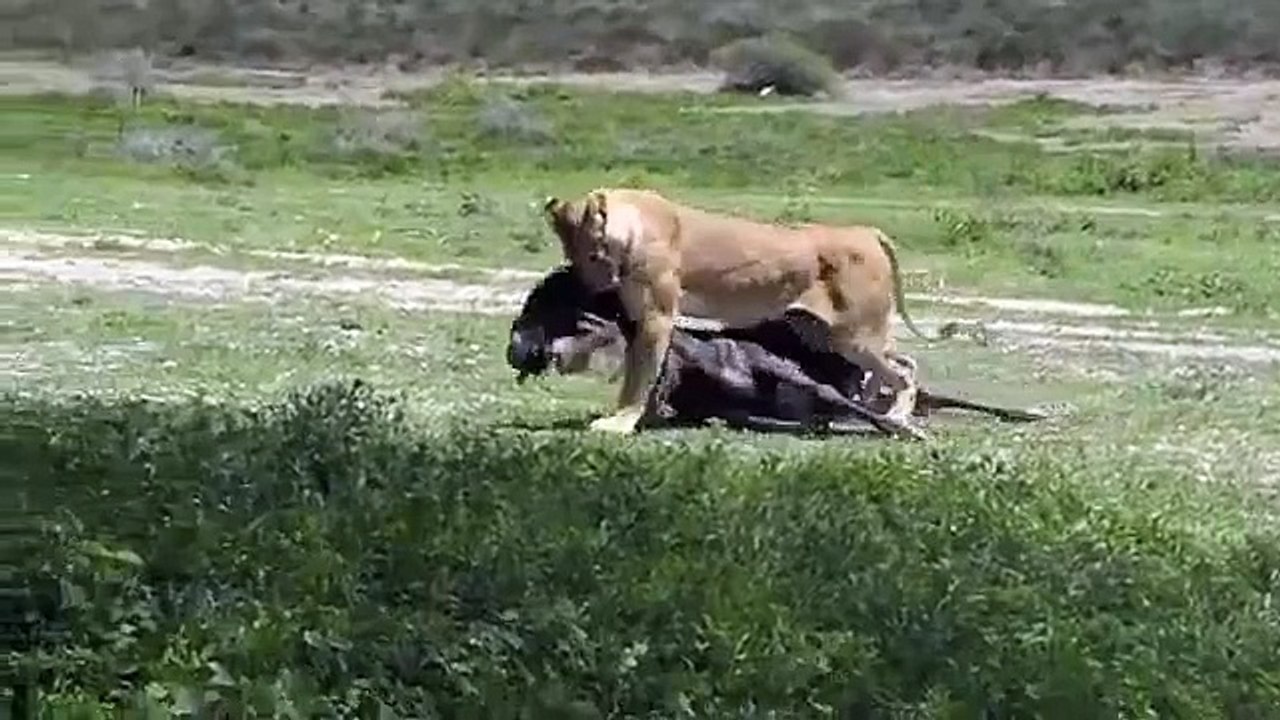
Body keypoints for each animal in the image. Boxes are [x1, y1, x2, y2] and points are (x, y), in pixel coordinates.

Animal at [543, 187, 935, 435]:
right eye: (571, 254)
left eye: (594, 254)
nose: (589, 286)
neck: (633, 224)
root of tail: (865, 231)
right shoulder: (646, 318)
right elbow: (652, 373)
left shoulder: (657, 316)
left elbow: (640, 377)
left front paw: (620, 423)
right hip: (828, 333)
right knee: (901, 363)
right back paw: (875, 409)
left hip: (855, 335)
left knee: (903, 372)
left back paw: (896, 417)